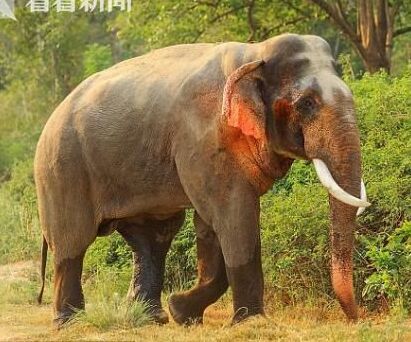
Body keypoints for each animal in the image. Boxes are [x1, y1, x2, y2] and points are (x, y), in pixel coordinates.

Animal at [35, 33, 370, 328]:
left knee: (154, 238)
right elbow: (233, 216)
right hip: (62, 169)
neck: (253, 54)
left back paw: (152, 318)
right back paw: (69, 323)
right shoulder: (203, 140)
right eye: (306, 104)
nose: (354, 319)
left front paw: (182, 312)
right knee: (72, 242)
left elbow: (210, 225)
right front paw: (251, 323)